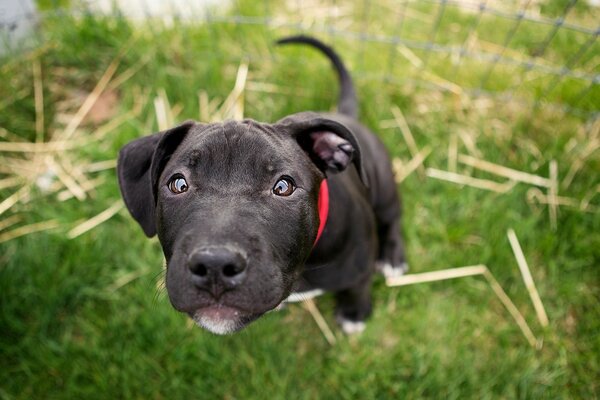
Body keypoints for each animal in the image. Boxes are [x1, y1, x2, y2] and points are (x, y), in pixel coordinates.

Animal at [117, 36, 408, 334]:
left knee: (393, 219)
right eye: (178, 184)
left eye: (283, 187)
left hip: (385, 189)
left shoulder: (360, 266)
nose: (214, 265)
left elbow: (358, 287)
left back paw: (393, 258)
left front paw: (354, 313)